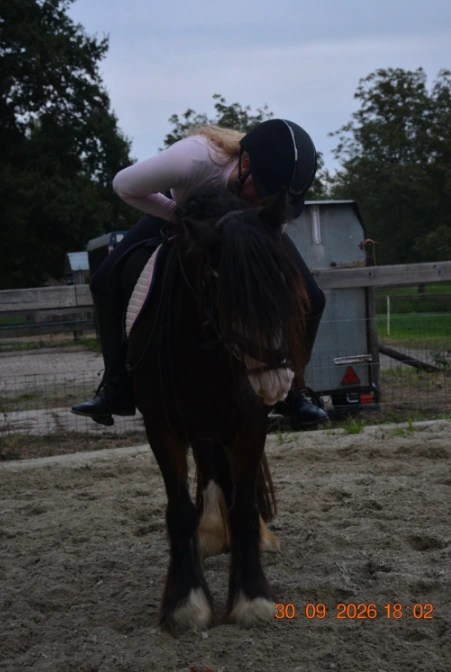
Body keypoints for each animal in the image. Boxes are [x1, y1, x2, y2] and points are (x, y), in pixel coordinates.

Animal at [130, 188, 310, 631]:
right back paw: (211, 531)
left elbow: (244, 507)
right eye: (222, 286)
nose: (275, 380)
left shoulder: (250, 426)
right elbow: (179, 510)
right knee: (210, 469)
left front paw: (252, 598)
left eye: (286, 278)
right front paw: (185, 602)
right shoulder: (163, 428)